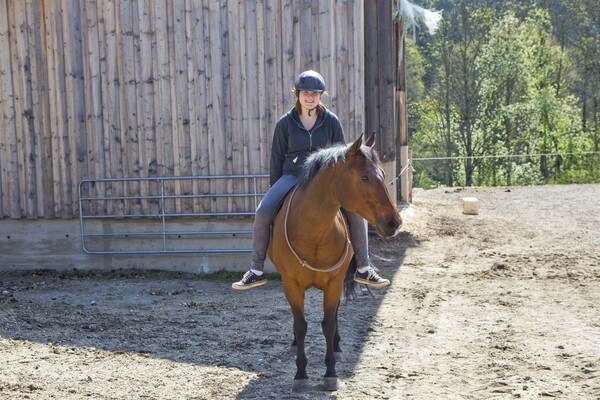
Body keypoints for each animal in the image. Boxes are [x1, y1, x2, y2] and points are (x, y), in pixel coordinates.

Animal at [268, 134, 404, 390]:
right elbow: (300, 325)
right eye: (364, 177)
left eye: (382, 173)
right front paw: (301, 373)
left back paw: (338, 346)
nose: (394, 222)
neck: (313, 233)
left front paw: (330, 372)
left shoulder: (333, 283)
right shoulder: (291, 285)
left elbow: (329, 324)